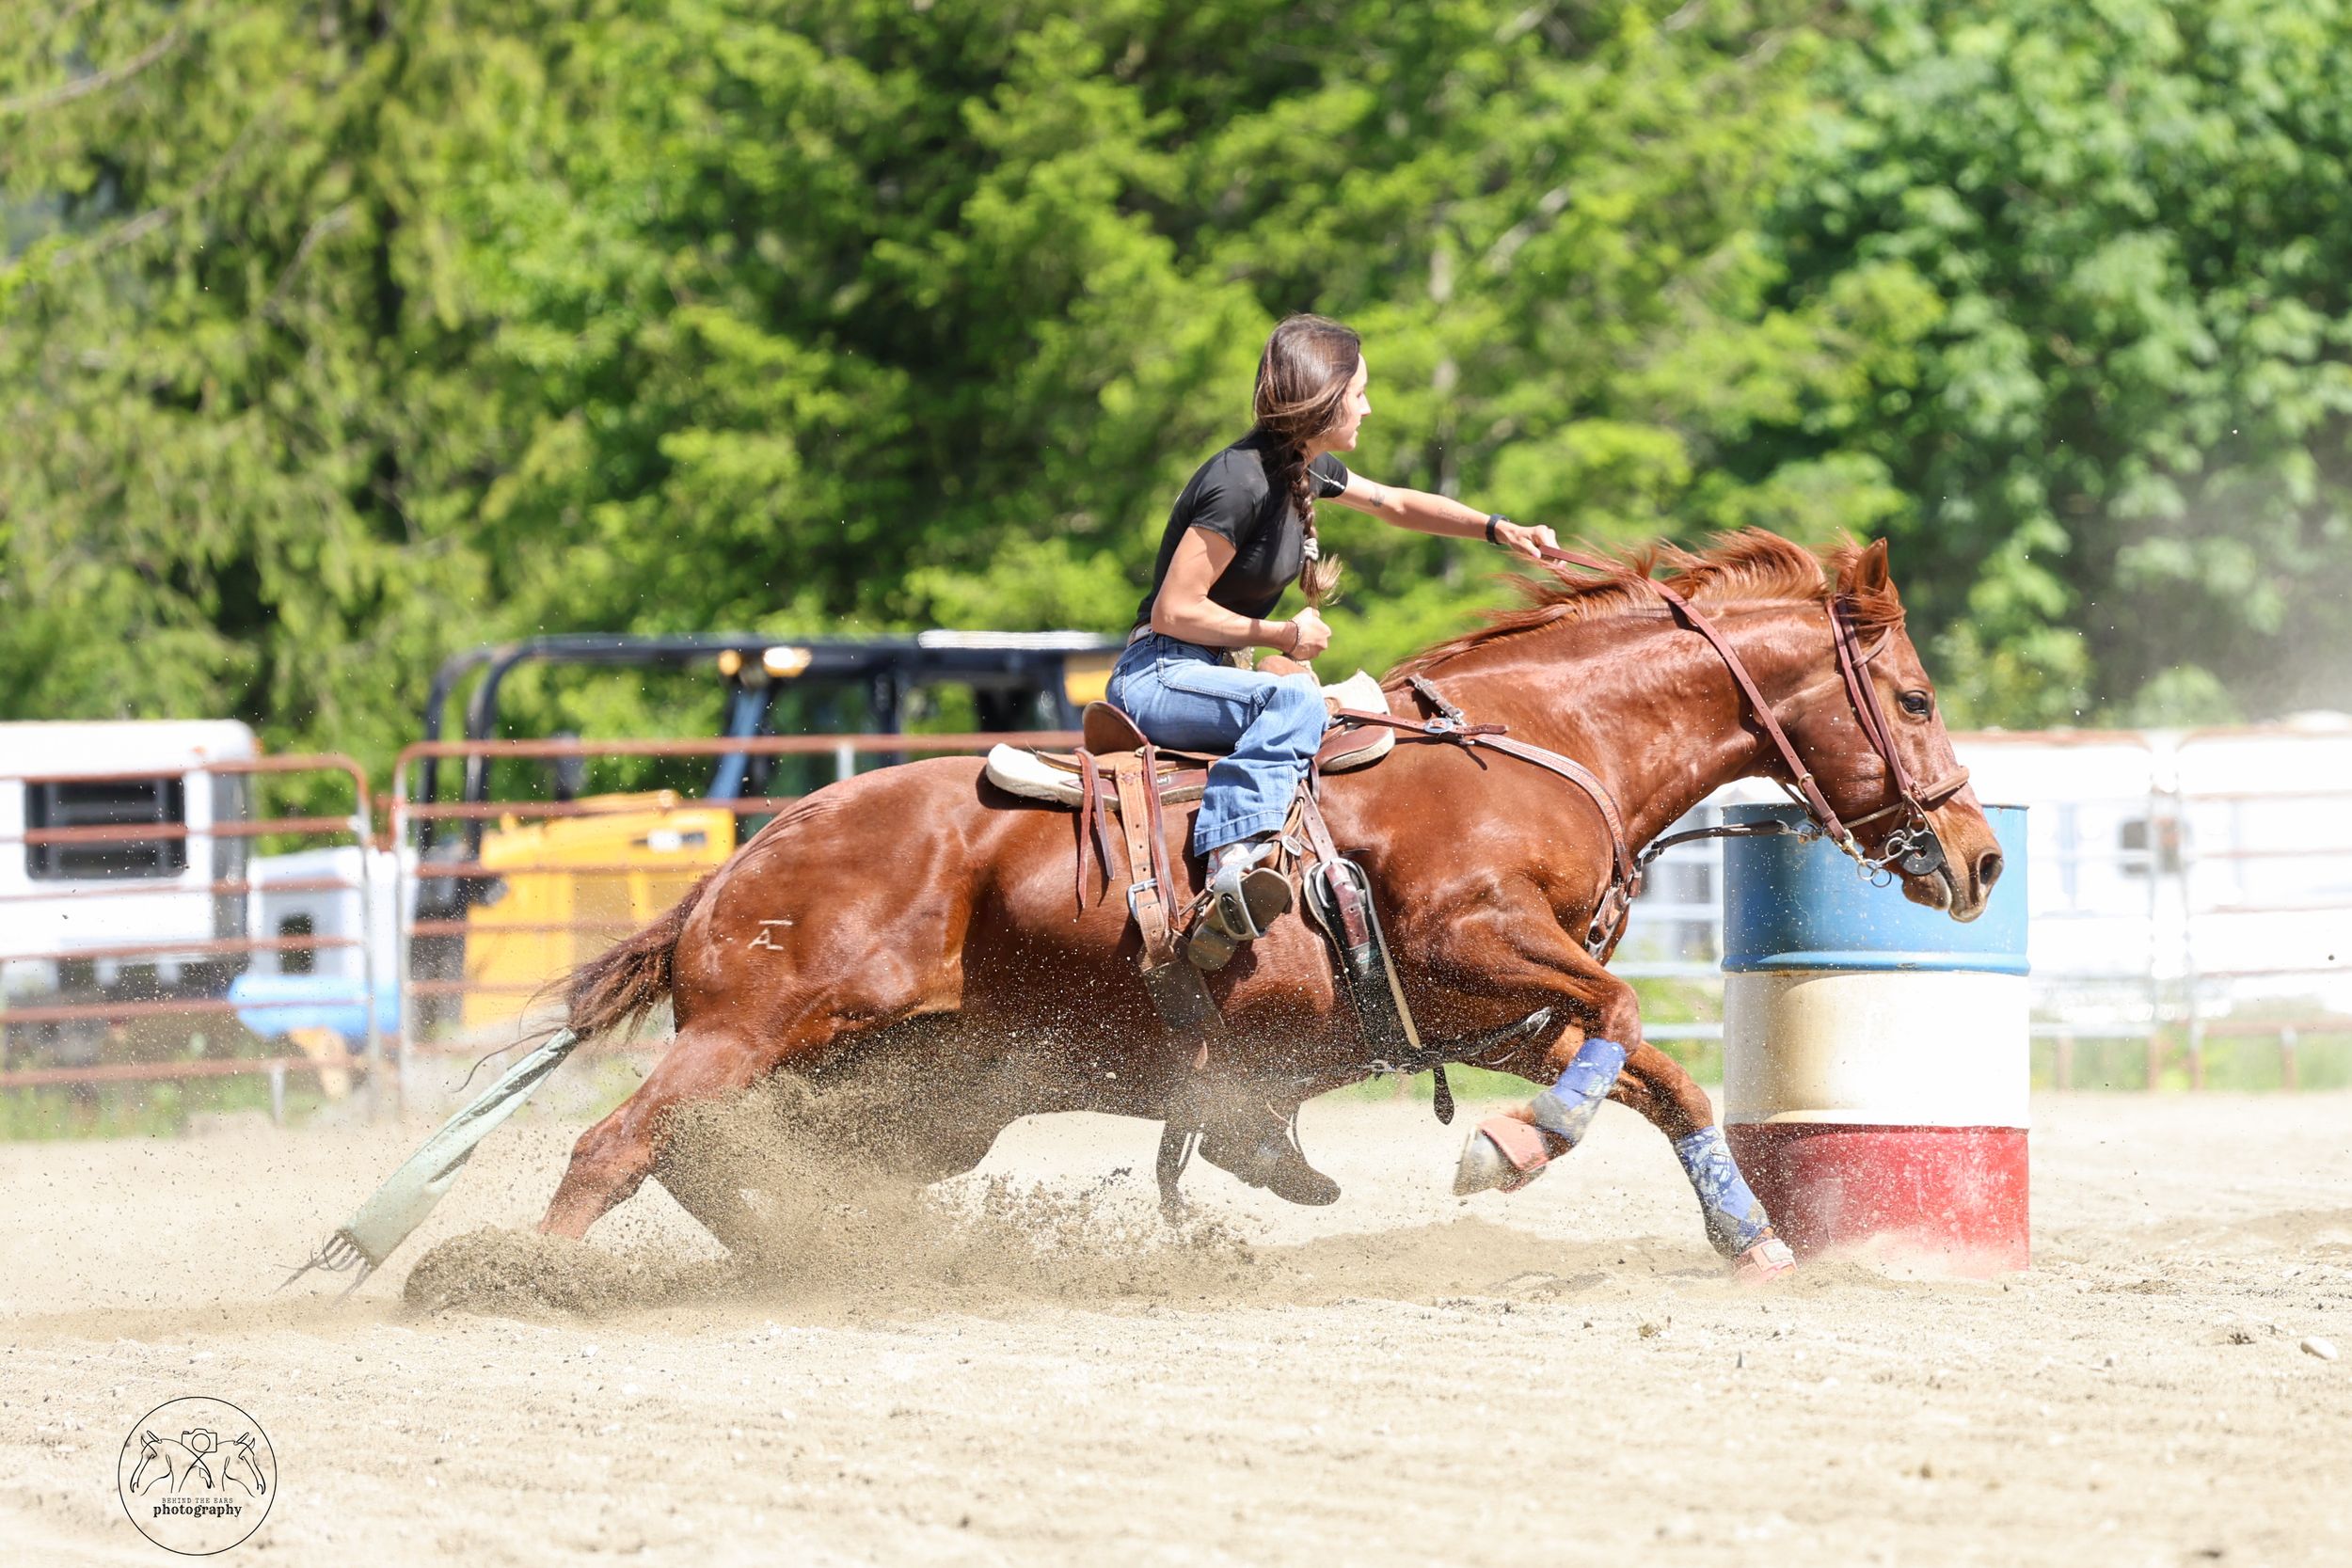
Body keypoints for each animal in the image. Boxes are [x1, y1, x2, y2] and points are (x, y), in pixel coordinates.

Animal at [534, 532, 2003, 1273]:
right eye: (1915, 695)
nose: (1982, 858)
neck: (1542, 743)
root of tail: (738, 861)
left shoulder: (1495, 1013)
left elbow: (1662, 1072)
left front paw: (1745, 1236)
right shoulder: (1476, 945)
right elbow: (1630, 1016)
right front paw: (1512, 1147)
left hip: (903, 1092)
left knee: (701, 1155)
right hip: (751, 1029)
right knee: (615, 1145)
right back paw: (526, 1277)